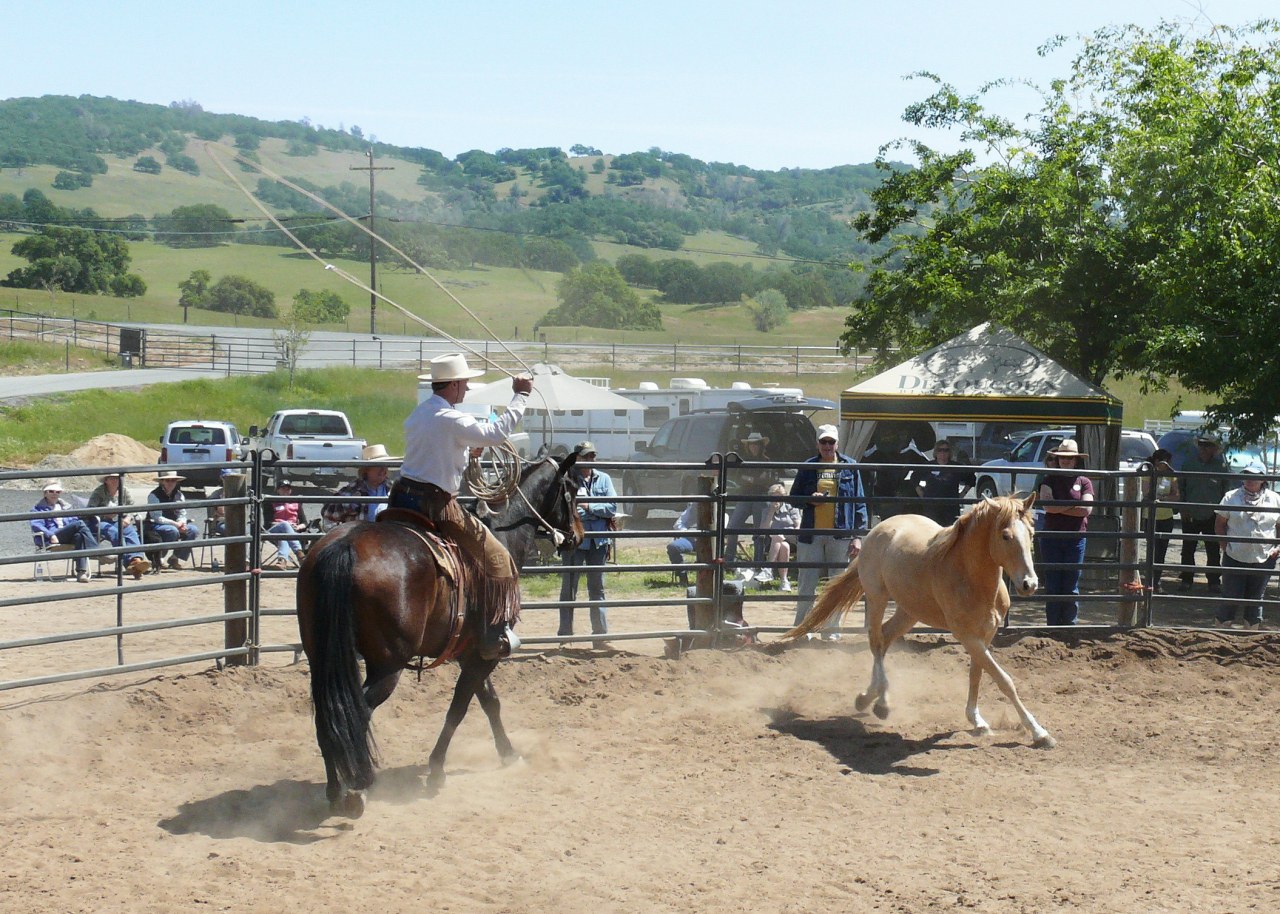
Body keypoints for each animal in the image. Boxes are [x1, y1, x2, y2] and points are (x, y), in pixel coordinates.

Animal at [296, 453, 583, 814]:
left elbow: (490, 702)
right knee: (354, 715)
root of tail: (345, 546)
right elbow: (458, 709)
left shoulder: (468, 652)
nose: (577, 535)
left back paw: (335, 791)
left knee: (327, 719)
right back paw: (356, 790)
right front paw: (436, 771)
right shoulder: (484, 653)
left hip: (322, 657)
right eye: (572, 492)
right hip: (386, 667)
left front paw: (508, 754)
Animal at [783, 494, 1054, 742]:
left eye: (1031, 533)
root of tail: (878, 529)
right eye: (1005, 535)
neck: (970, 578)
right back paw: (881, 703)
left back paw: (867, 698)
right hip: (877, 598)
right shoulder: (967, 636)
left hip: (909, 612)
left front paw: (977, 721)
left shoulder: (985, 634)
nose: (1029, 584)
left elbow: (977, 675)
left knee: (884, 639)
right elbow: (1004, 680)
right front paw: (1039, 732)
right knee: (875, 640)